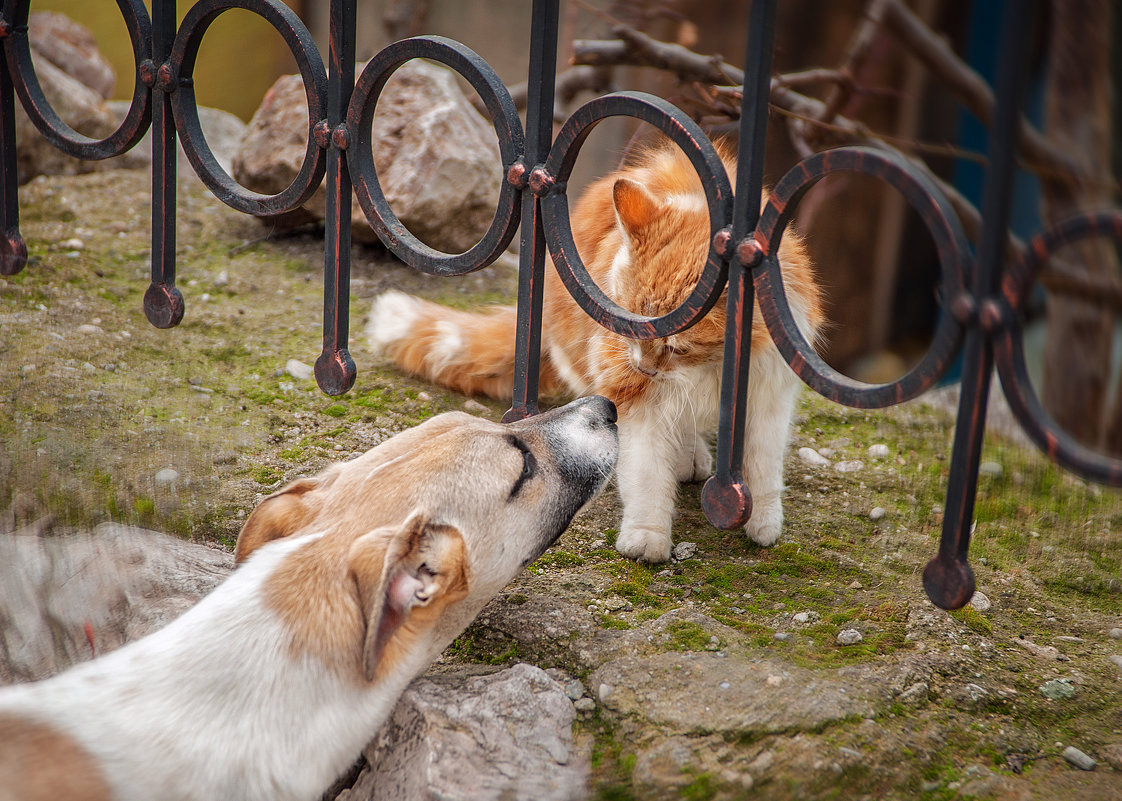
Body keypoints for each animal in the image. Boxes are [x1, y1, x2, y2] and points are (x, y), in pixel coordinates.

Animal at [368, 143, 825, 558]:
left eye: (676, 346)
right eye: (630, 326)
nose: (644, 368)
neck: (706, 370)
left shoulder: (768, 395)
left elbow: (763, 465)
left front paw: (764, 519)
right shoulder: (629, 392)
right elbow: (646, 474)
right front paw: (647, 535)